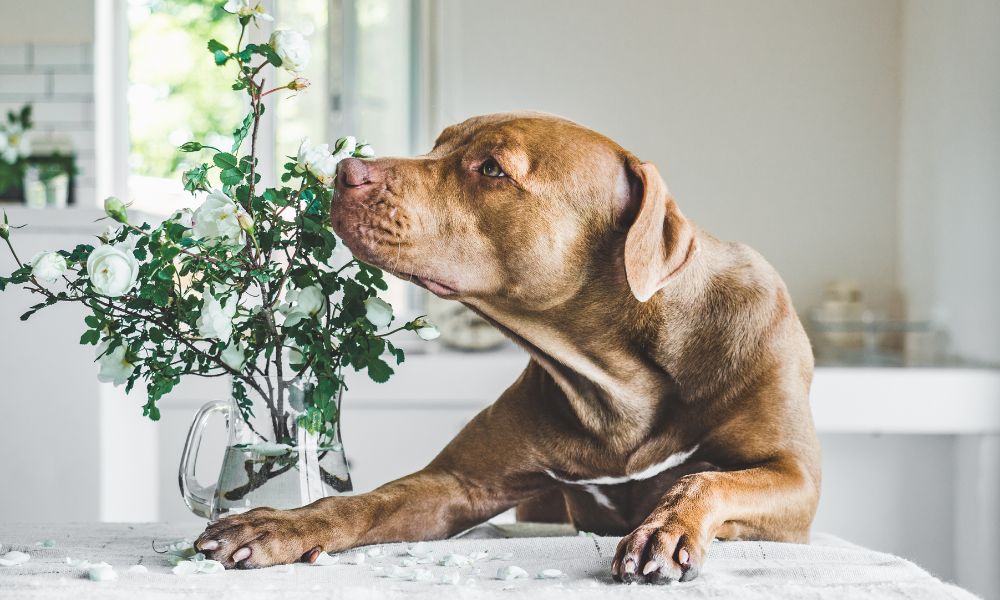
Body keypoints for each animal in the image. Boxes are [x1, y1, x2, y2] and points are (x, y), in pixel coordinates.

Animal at [195, 111, 820, 580]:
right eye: (439, 145)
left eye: (493, 168)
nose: (346, 169)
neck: (620, 378)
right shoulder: (457, 484)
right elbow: (365, 501)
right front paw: (280, 524)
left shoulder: (795, 480)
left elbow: (707, 478)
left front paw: (666, 529)